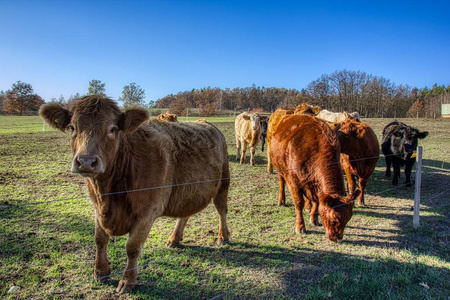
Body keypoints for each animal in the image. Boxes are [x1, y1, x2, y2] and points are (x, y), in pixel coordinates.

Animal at [37, 95, 232, 292]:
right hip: (188, 190)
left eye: (113, 129)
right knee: (184, 214)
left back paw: (223, 237)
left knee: (221, 210)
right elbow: (100, 239)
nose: (86, 161)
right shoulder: (97, 208)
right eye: (72, 128)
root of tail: (206, 123)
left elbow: (132, 247)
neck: (109, 193)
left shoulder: (147, 212)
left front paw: (127, 281)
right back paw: (174, 238)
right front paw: (100, 272)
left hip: (223, 182)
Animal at [268, 113, 360, 243]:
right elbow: (298, 202)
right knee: (281, 183)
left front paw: (314, 218)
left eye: (348, 218)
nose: (337, 238)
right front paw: (300, 226)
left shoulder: (315, 185)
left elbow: (317, 201)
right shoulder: (293, 180)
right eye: (335, 219)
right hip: (280, 168)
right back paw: (281, 200)